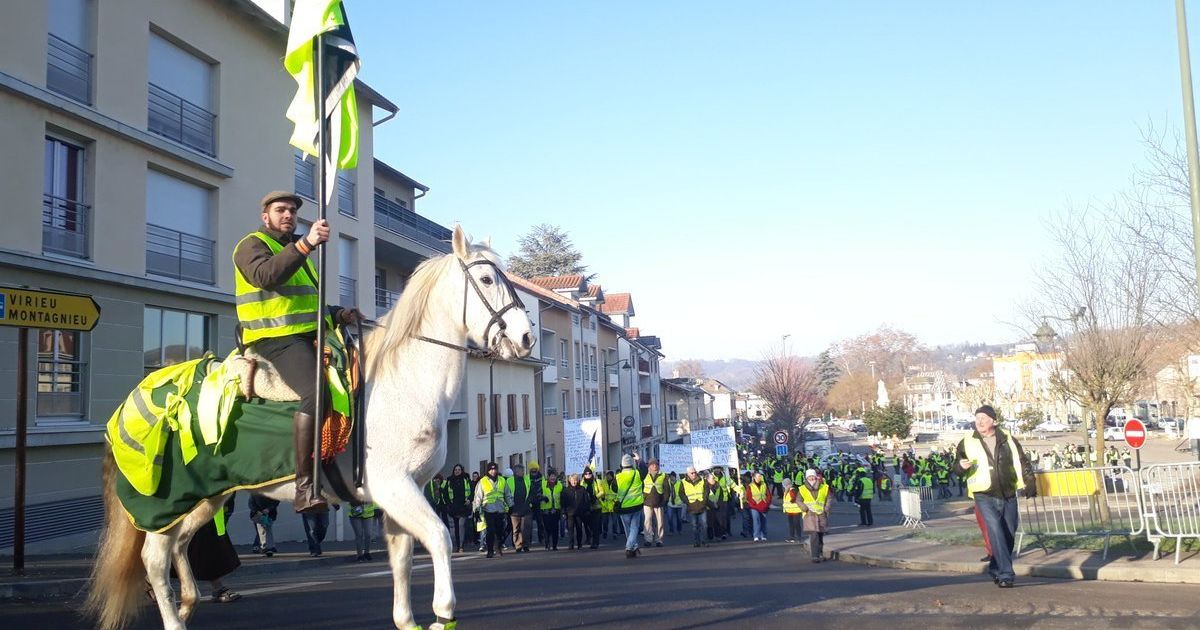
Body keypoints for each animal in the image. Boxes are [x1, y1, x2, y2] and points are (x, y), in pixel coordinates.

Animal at [84, 225, 535, 628]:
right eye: (486, 279)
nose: (527, 338)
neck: (402, 380)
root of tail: (128, 405)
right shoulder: (395, 486)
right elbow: (441, 537)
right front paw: (443, 613)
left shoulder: (401, 492)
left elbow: (402, 557)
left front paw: (408, 618)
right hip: (169, 501)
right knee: (155, 559)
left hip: (204, 499)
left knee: (179, 546)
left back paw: (189, 602)